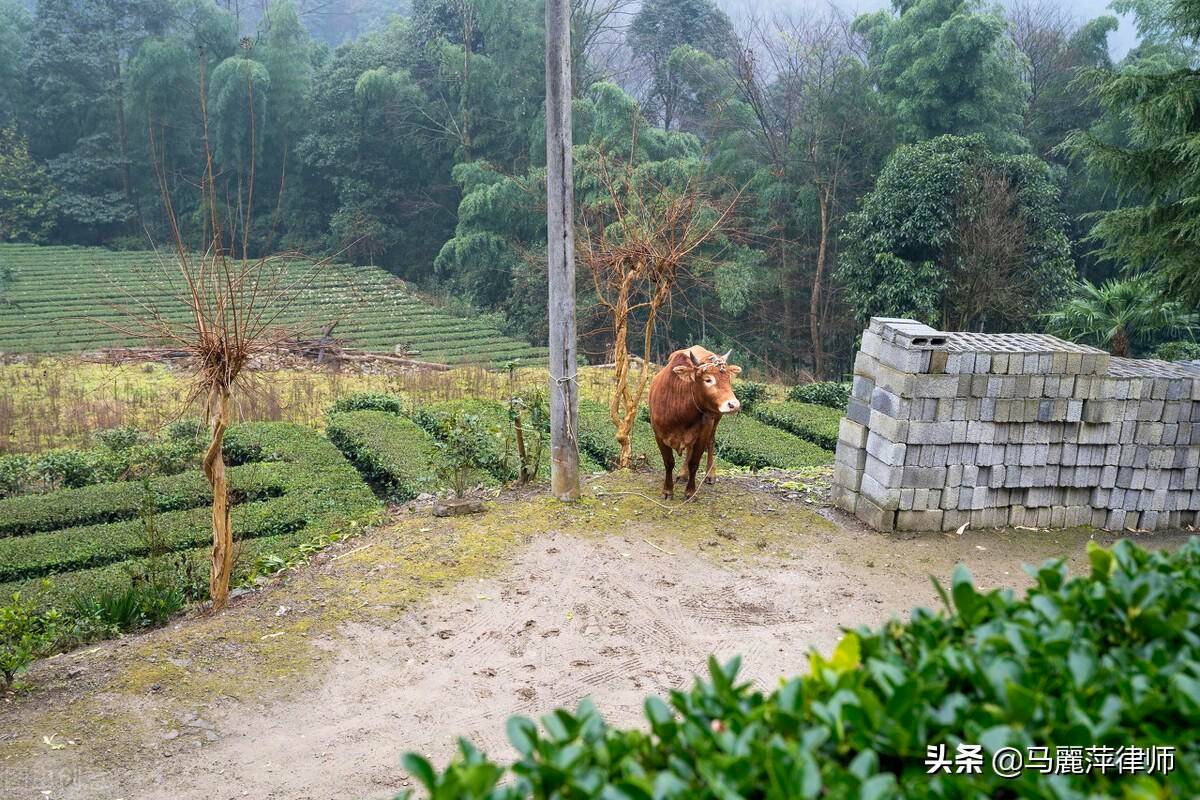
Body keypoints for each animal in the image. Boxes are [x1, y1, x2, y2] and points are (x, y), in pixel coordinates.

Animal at [648, 345, 739, 496]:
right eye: (708, 380)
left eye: (729, 380)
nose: (734, 404)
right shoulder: (659, 435)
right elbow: (669, 462)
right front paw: (668, 490)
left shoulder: (702, 434)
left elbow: (694, 463)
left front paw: (690, 492)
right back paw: (683, 474)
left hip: (715, 419)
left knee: (711, 442)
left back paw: (710, 475)